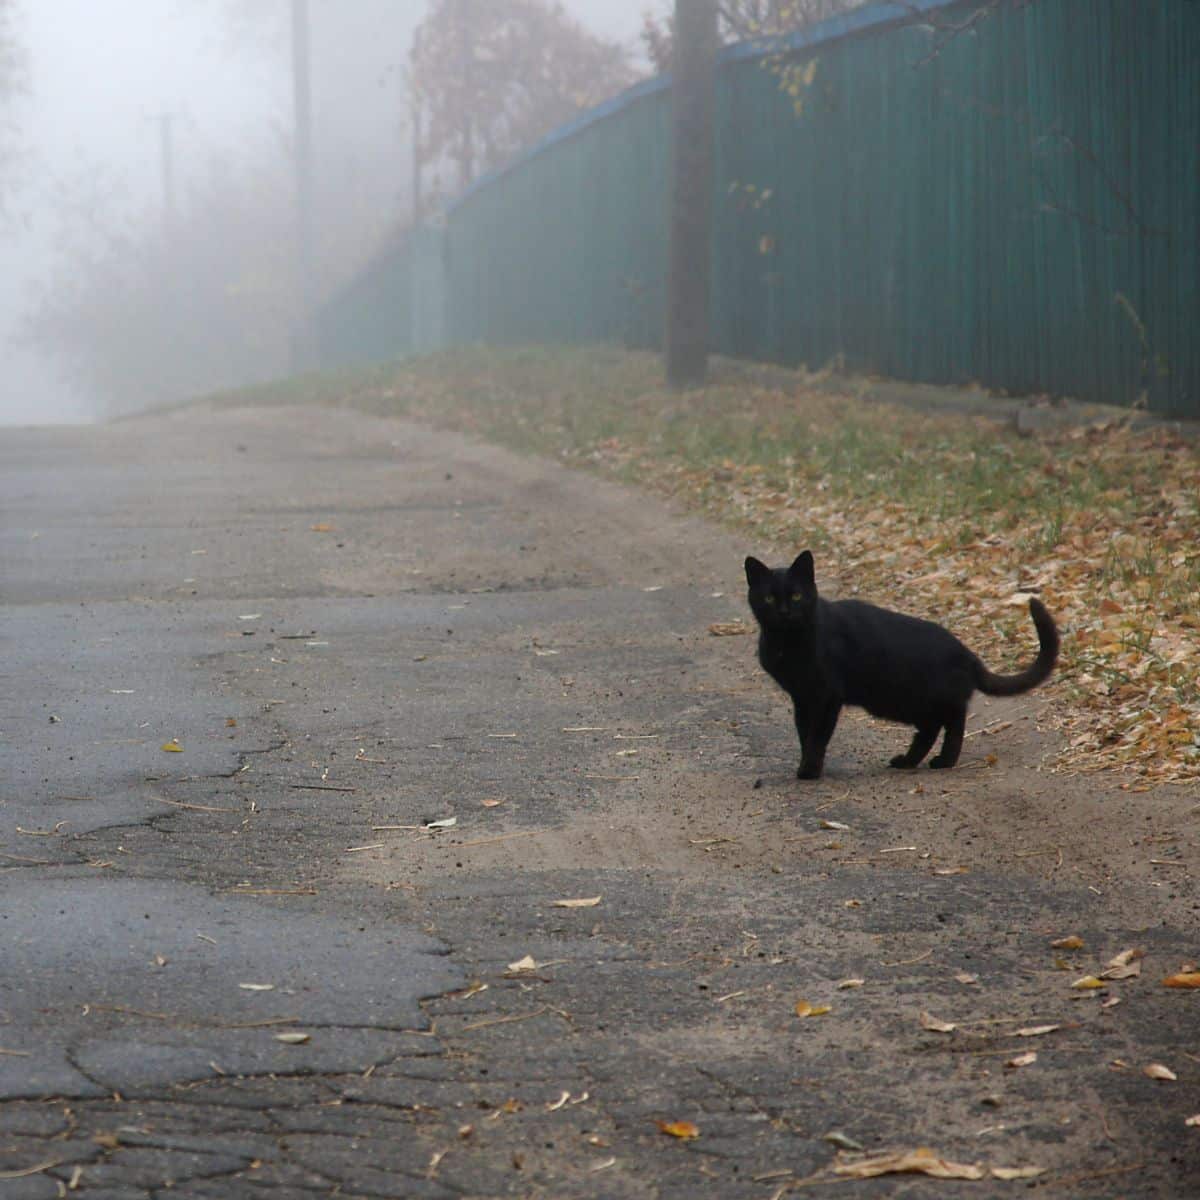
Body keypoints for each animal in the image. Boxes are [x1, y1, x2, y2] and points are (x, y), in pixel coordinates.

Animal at [739, 549, 1060, 782]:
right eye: (769, 598)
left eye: (796, 595)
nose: (784, 612)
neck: (786, 642)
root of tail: (966, 652)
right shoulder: (802, 697)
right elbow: (803, 732)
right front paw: (807, 763)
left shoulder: (827, 696)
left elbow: (817, 735)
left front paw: (809, 771)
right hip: (907, 703)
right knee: (930, 728)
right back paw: (907, 762)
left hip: (913, 698)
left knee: (954, 720)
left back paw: (944, 761)